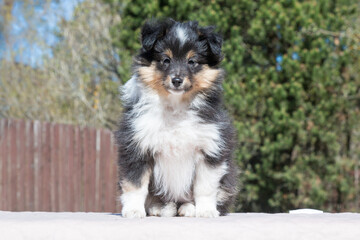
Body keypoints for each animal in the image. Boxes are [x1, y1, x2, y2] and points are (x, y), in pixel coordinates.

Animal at [115, 18, 238, 218]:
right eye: (166, 60)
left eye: (192, 61)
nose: (177, 80)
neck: (176, 106)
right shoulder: (136, 146)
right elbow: (135, 184)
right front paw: (133, 210)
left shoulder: (210, 147)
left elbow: (205, 186)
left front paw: (206, 211)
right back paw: (158, 208)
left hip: (229, 180)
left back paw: (188, 208)